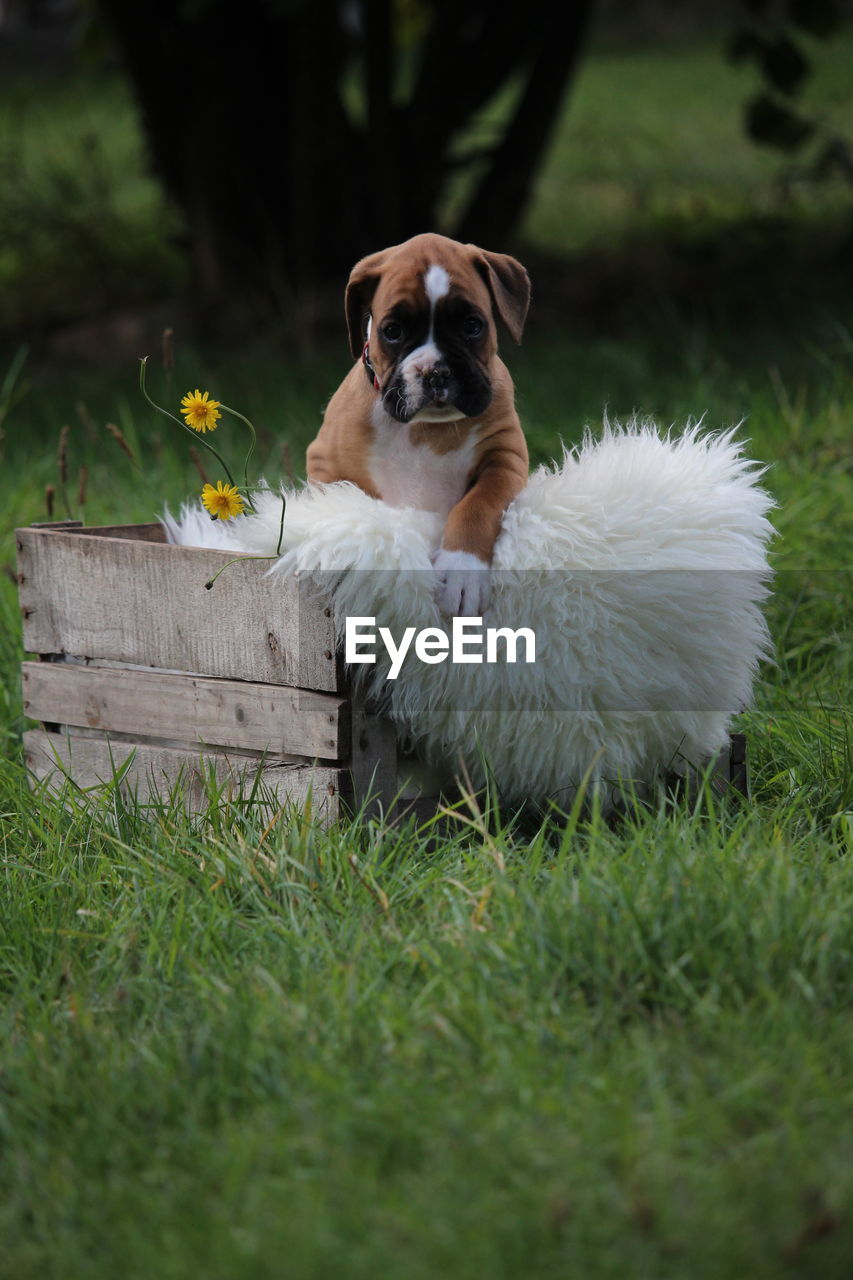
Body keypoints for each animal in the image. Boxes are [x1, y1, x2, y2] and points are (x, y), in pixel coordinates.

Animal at [306, 232, 527, 616]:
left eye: (472, 326)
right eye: (392, 331)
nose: (434, 371)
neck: (427, 429)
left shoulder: (505, 458)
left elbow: (478, 504)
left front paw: (461, 571)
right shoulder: (324, 464)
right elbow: (340, 504)